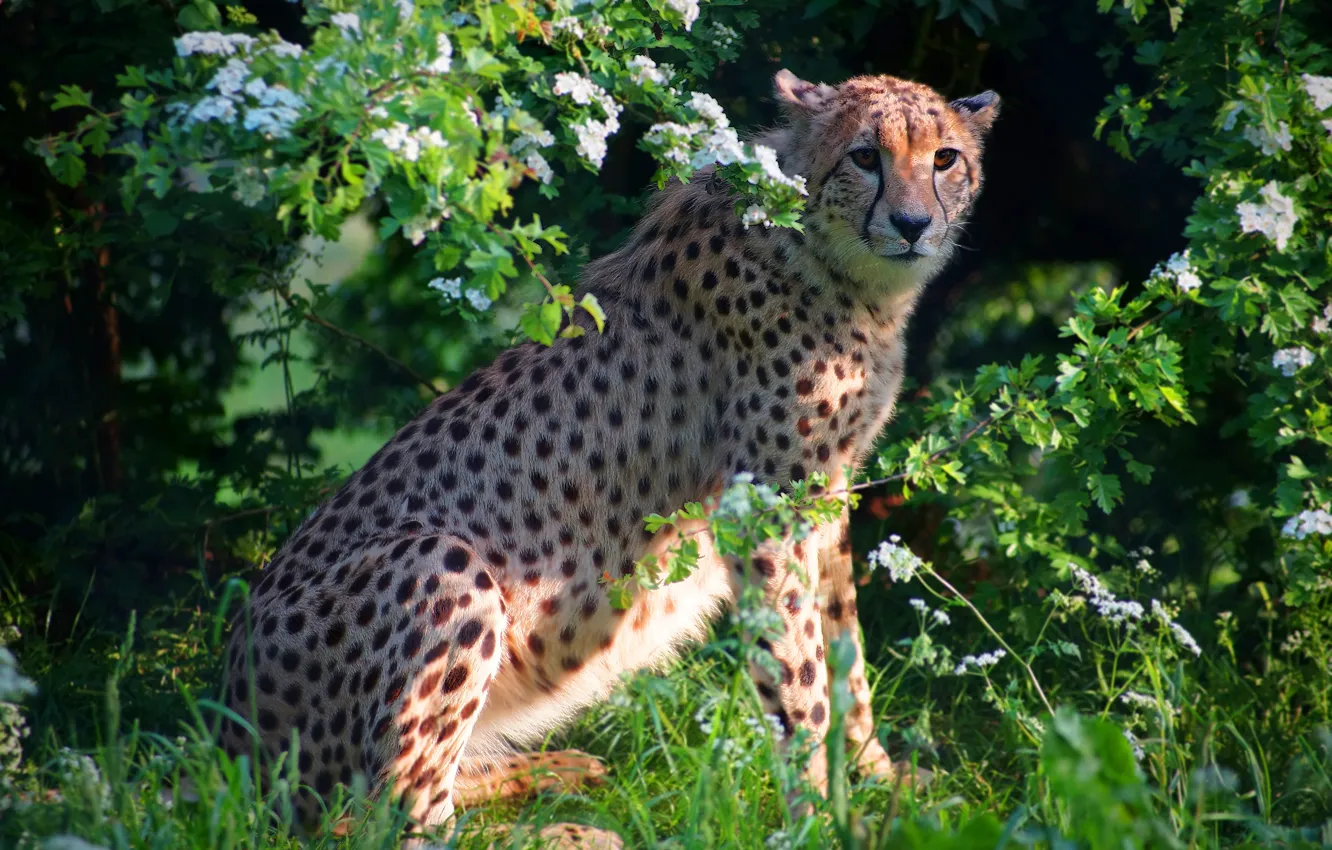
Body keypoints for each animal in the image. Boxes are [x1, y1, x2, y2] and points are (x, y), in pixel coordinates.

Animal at [218, 68, 998, 848]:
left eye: (945, 159)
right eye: (866, 157)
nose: (912, 225)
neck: (832, 259)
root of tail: (226, 725)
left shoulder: (826, 489)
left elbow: (843, 644)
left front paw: (879, 778)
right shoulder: (762, 505)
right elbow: (798, 674)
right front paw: (818, 816)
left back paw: (554, 773)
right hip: (441, 562)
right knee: (391, 817)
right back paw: (567, 833)